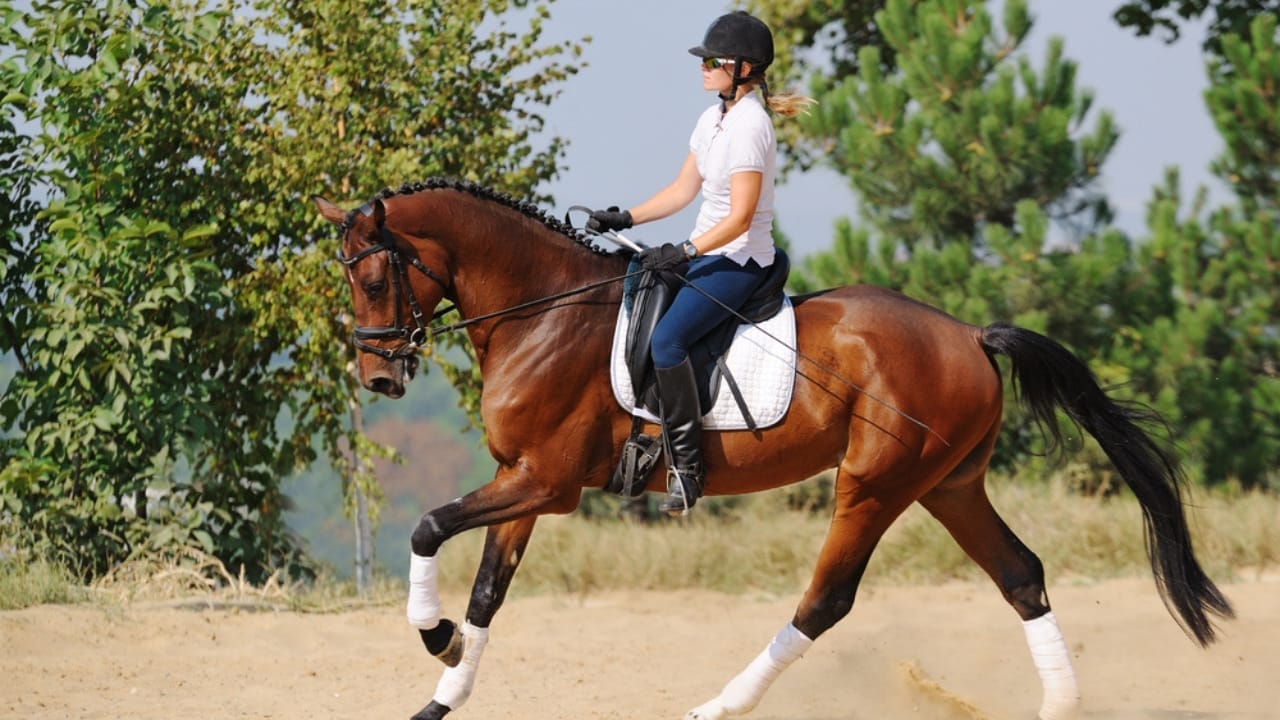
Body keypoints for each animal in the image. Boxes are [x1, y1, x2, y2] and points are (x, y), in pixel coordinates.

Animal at [312, 178, 1233, 720]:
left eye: (374, 277)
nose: (379, 376)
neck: (542, 312)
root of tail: (969, 335)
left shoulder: (546, 481)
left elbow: (429, 528)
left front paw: (435, 639)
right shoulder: (521, 480)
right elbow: (488, 592)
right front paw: (443, 690)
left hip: (875, 484)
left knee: (825, 601)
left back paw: (717, 706)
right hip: (950, 486)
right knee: (1021, 574)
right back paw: (1058, 704)